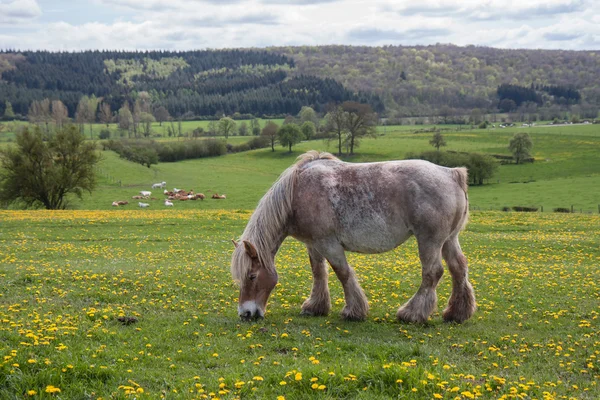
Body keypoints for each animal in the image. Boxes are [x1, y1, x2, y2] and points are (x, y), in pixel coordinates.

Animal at [232, 152, 476, 324]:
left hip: (429, 240)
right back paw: (456, 313)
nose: (246, 313)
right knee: (458, 268)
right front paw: (316, 307)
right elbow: (318, 273)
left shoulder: (328, 244)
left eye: (252, 276)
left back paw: (412, 314)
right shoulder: (314, 244)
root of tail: (452, 174)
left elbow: (343, 273)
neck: (296, 193)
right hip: (449, 240)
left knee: (432, 273)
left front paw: (353, 311)